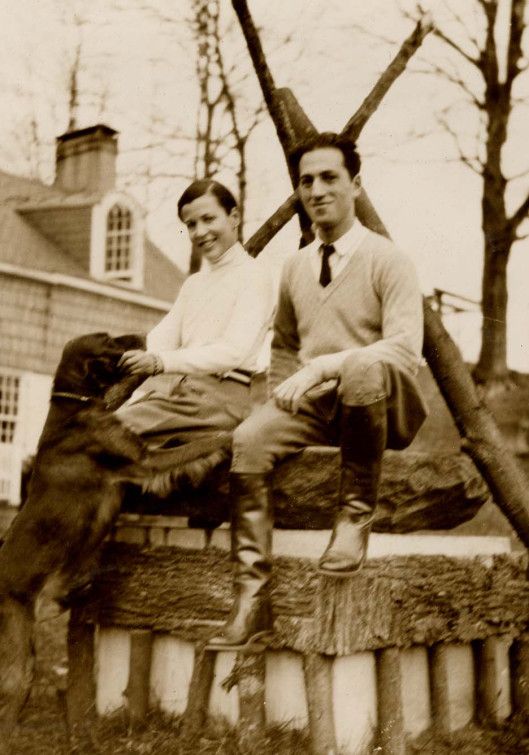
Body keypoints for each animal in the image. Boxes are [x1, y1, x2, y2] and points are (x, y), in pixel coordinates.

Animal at [0, 332, 231, 749]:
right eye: (107, 340)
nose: (141, 336)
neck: (75, 410)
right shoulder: (144, 462)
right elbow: (196, 446)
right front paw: (235, 435)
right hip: (15, 657)